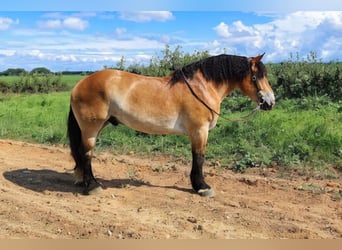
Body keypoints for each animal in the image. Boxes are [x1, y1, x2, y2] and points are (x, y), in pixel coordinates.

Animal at [67, 53, 276, 197]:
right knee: (86, 154)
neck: (202, 87)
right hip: (91, 128)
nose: (270, 102)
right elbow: (199, 158)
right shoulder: (199, 131)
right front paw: (202, 187)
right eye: (256, 77)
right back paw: (93, 186)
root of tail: (79, 84)